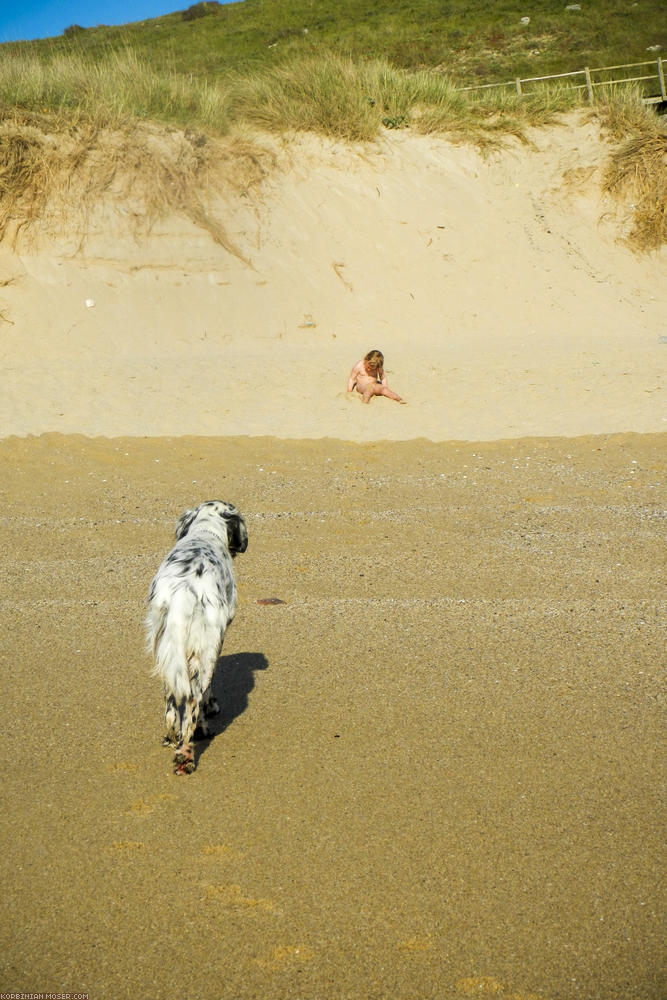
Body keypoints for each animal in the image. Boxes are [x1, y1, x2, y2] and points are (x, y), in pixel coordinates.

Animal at [146, 500, 248, 772]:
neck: (205, 532)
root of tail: (183, 592)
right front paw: (211, 710)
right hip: (205, 650)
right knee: (193, 700)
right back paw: (186, 754)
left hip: (166, 652)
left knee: (172, 704)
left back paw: (172, 738)